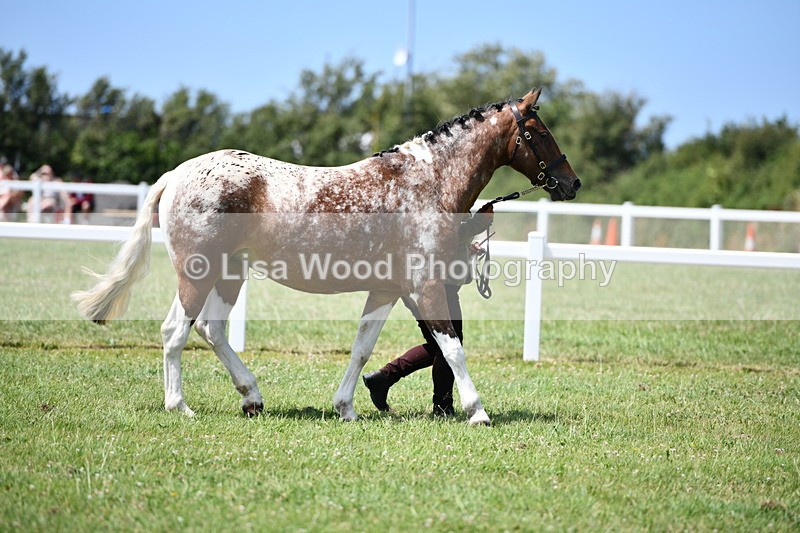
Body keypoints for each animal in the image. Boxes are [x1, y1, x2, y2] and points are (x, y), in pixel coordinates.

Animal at [72, 87, 580, 426]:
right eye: (539, 131)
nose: (571, 183)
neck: (427, 182)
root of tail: (176, 174)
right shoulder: (426, 287)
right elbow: (451, 347)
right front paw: (478, 412)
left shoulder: (387, 289)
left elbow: (362, 347)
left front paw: (347, 407)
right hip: (197, 274)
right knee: (176, 331)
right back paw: (181, 406)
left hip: (229, 273)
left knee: (211, 330)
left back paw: (252, 397)